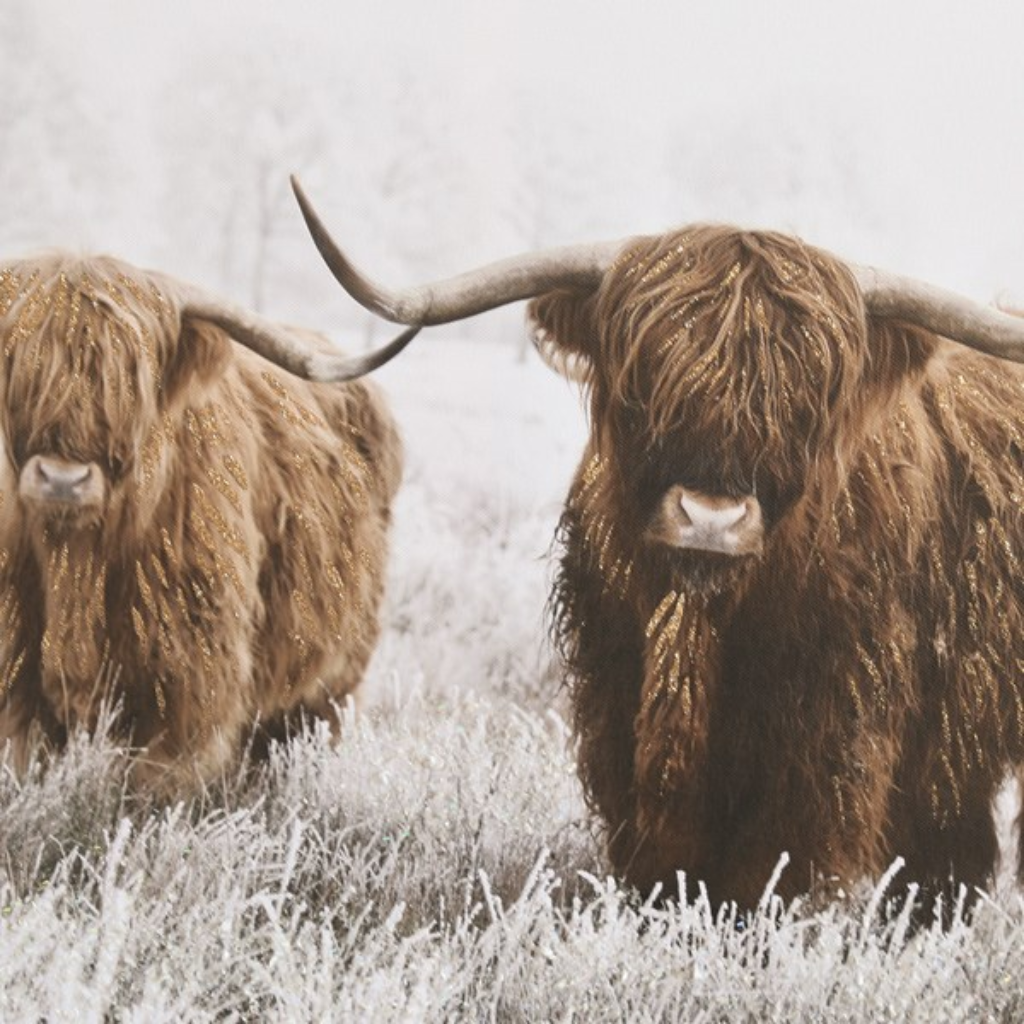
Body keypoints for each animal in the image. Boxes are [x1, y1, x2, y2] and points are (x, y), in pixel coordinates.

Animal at [0, 250, 416, 794]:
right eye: (14, 360)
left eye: (134, 373)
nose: (63, 480)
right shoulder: (18, 689)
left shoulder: (185, 690)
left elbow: (153, 791)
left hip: (332, 680)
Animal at [289, 177, 1024, 911]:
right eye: (647, 379)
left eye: (807, 396)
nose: (711, 518)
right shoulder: (616, 693)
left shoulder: (832, 723)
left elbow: (775, 863)